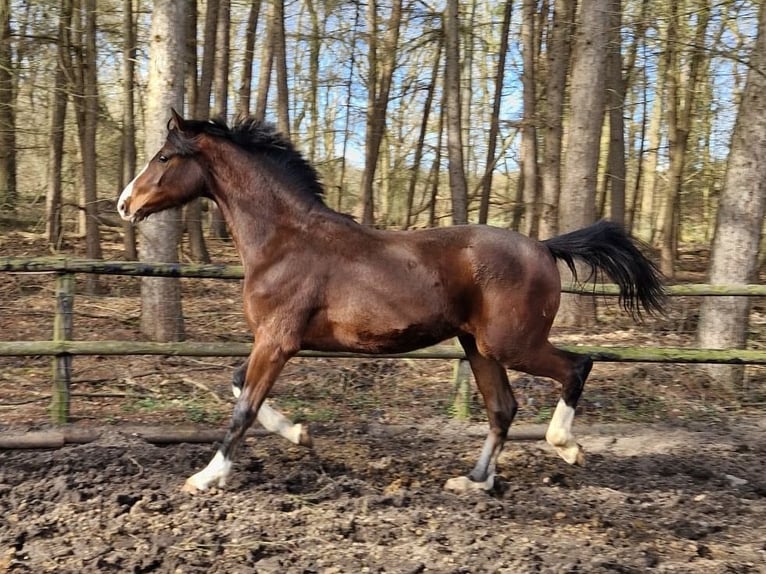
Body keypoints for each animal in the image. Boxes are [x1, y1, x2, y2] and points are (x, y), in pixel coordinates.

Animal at [118, 110, 665, 493]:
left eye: (164, 157)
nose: (125, 204)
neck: (282, 241)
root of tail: (545, 247)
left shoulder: (276, 341)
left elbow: (243, 409)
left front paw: (206, 478)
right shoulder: (273, 341)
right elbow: (237, 385)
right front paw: (300, 433)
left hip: (512, 343)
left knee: (577, 366)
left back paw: (566, 447)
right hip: (478, 347)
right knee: (502, 408)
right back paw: (474, 481)